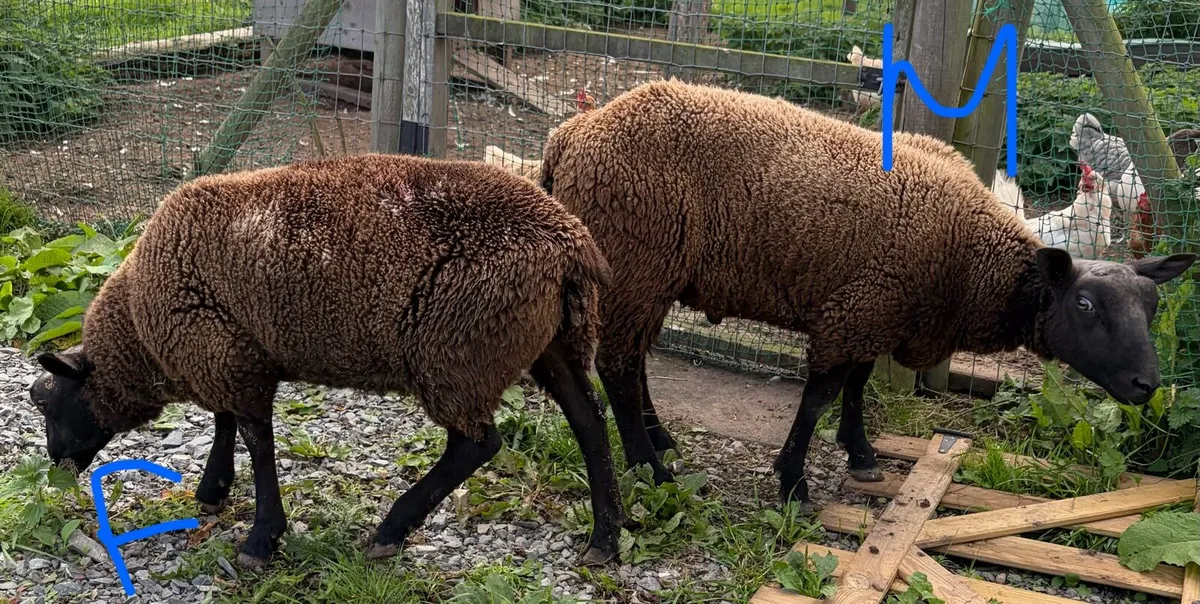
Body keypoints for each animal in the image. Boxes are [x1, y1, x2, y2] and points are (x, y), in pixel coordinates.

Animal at [26, 153, 625, 569]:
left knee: (476, 445)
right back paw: (606, 537)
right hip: (552, 341)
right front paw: (213, 490)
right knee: (590, 423)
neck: (138, 325)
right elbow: (223, 422)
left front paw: (261, 539)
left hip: (459, 349)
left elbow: (256, 441)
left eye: (49, 405)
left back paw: (391, 530)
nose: (56, 467)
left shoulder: (224, 353)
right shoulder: (227, 348)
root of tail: (571, 245)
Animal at [537, 78, 1196, 509]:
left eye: (1152, 307)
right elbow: (818, 399)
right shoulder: (854, 312)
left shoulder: (876, 310)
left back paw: (660, 440)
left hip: (654, 272)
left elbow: (854, 387)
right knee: (618, 367)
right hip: (635, 260)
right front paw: (793, 483)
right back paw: (651, 469)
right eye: (1084, 306)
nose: (1147, 385)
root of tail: (571, 133)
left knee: (635, 362)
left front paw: (861, 455)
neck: (975, 260)